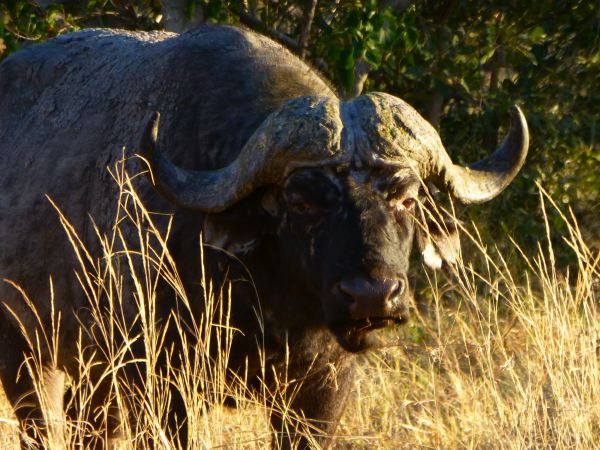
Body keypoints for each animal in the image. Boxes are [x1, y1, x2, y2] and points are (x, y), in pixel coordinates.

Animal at [0, 25, 524, 450]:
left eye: (407, 198)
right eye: (302, 200)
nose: (374, 295)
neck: (269, 299)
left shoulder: (324, 388)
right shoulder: (158, 382)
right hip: (29, 358)